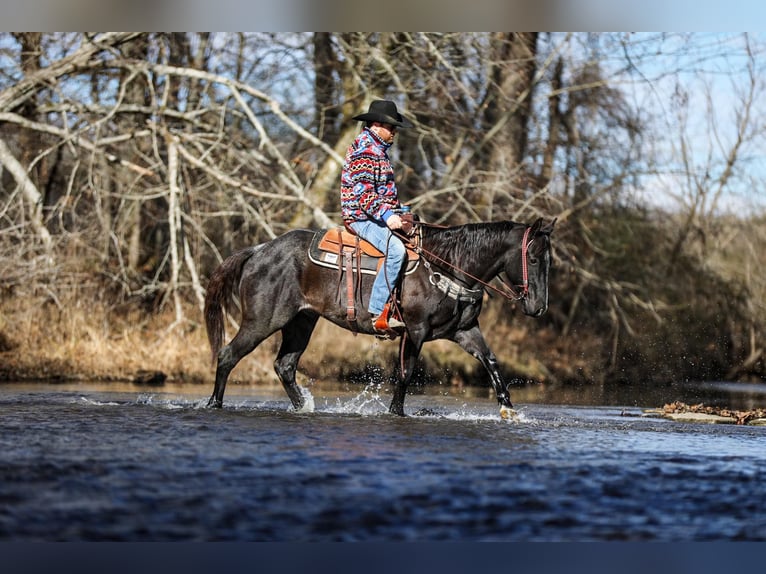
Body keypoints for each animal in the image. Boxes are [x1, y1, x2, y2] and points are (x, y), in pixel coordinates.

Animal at [201, 218, 556, 420]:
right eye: (533, 257)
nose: (538, 307)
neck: (448, 265)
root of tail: (259, 250)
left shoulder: (465, 330)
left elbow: (491, 360)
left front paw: (509, 410)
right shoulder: (415, 330)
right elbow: (406, 373)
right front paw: (396, 413)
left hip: (302, 320)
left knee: (285, 366)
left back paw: (303, 408)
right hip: (263, 320)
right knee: (228, 355)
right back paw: (214, 405)